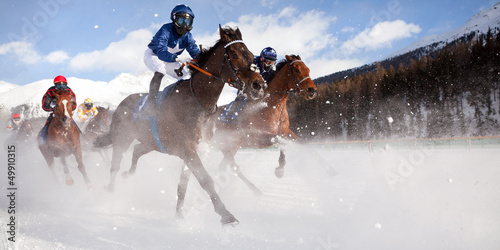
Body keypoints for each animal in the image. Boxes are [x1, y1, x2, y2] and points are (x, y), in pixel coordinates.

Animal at [94, 25, 266, 225]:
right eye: (234, 53)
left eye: (251, 54)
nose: (259, 85)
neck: (198, 101)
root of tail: (121, 104)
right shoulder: (188, 149)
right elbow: (206, 180)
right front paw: (226, 215)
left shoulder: (197, 149)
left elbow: (183, 185)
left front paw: (179, 215)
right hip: (122, 137)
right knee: (115, 164)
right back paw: (110, 188)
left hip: (151, 142)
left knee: (137, 150)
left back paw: (128, 174)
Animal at [211, 54, 316, 195]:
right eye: (296, 69)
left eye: (308, 69)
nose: (312, 90)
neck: (271, 106)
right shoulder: (257, 139)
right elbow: (280, 141)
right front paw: (280, 169)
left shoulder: (285, 131)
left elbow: (303, 143)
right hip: (225, 146)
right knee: (234, 167)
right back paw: (255, 190)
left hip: (233, 146)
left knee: (223, 166)